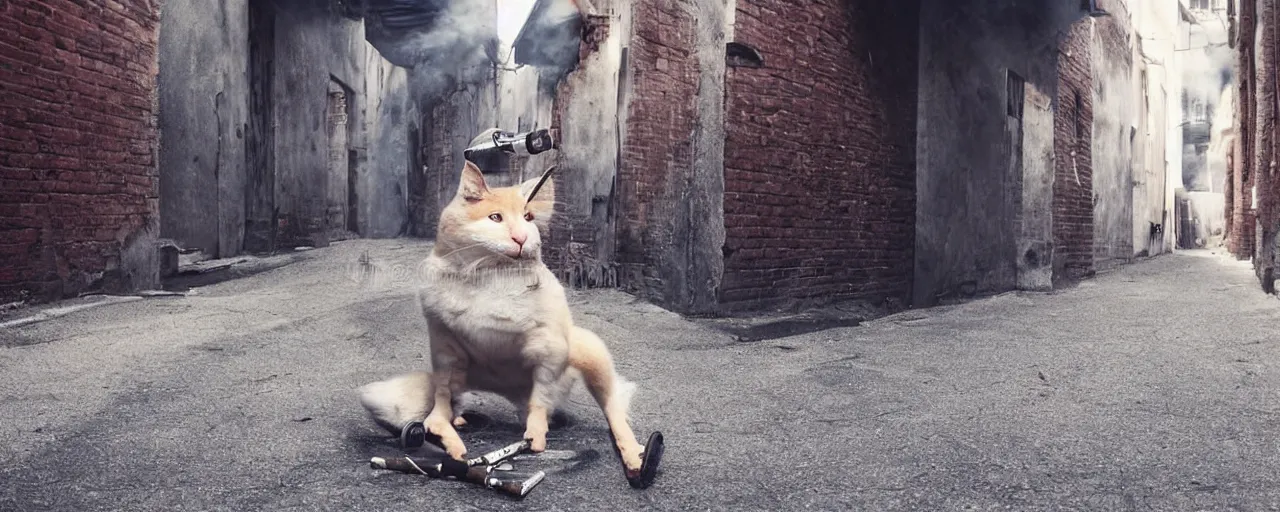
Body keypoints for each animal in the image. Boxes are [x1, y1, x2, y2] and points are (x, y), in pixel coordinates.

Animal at [363, 158, 650, 476]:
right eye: (495, 218)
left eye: (528, 217)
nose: (522, 238)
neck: (490, 272)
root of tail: (506, 391)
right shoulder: (444, 343)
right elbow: (441, 397)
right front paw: (448, 438)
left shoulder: (549, 345)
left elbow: (541, 392)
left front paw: (535, 436)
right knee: (440, 402)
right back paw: (452, 425)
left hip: (590, 350)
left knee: (611, 406)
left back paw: (633, 456)